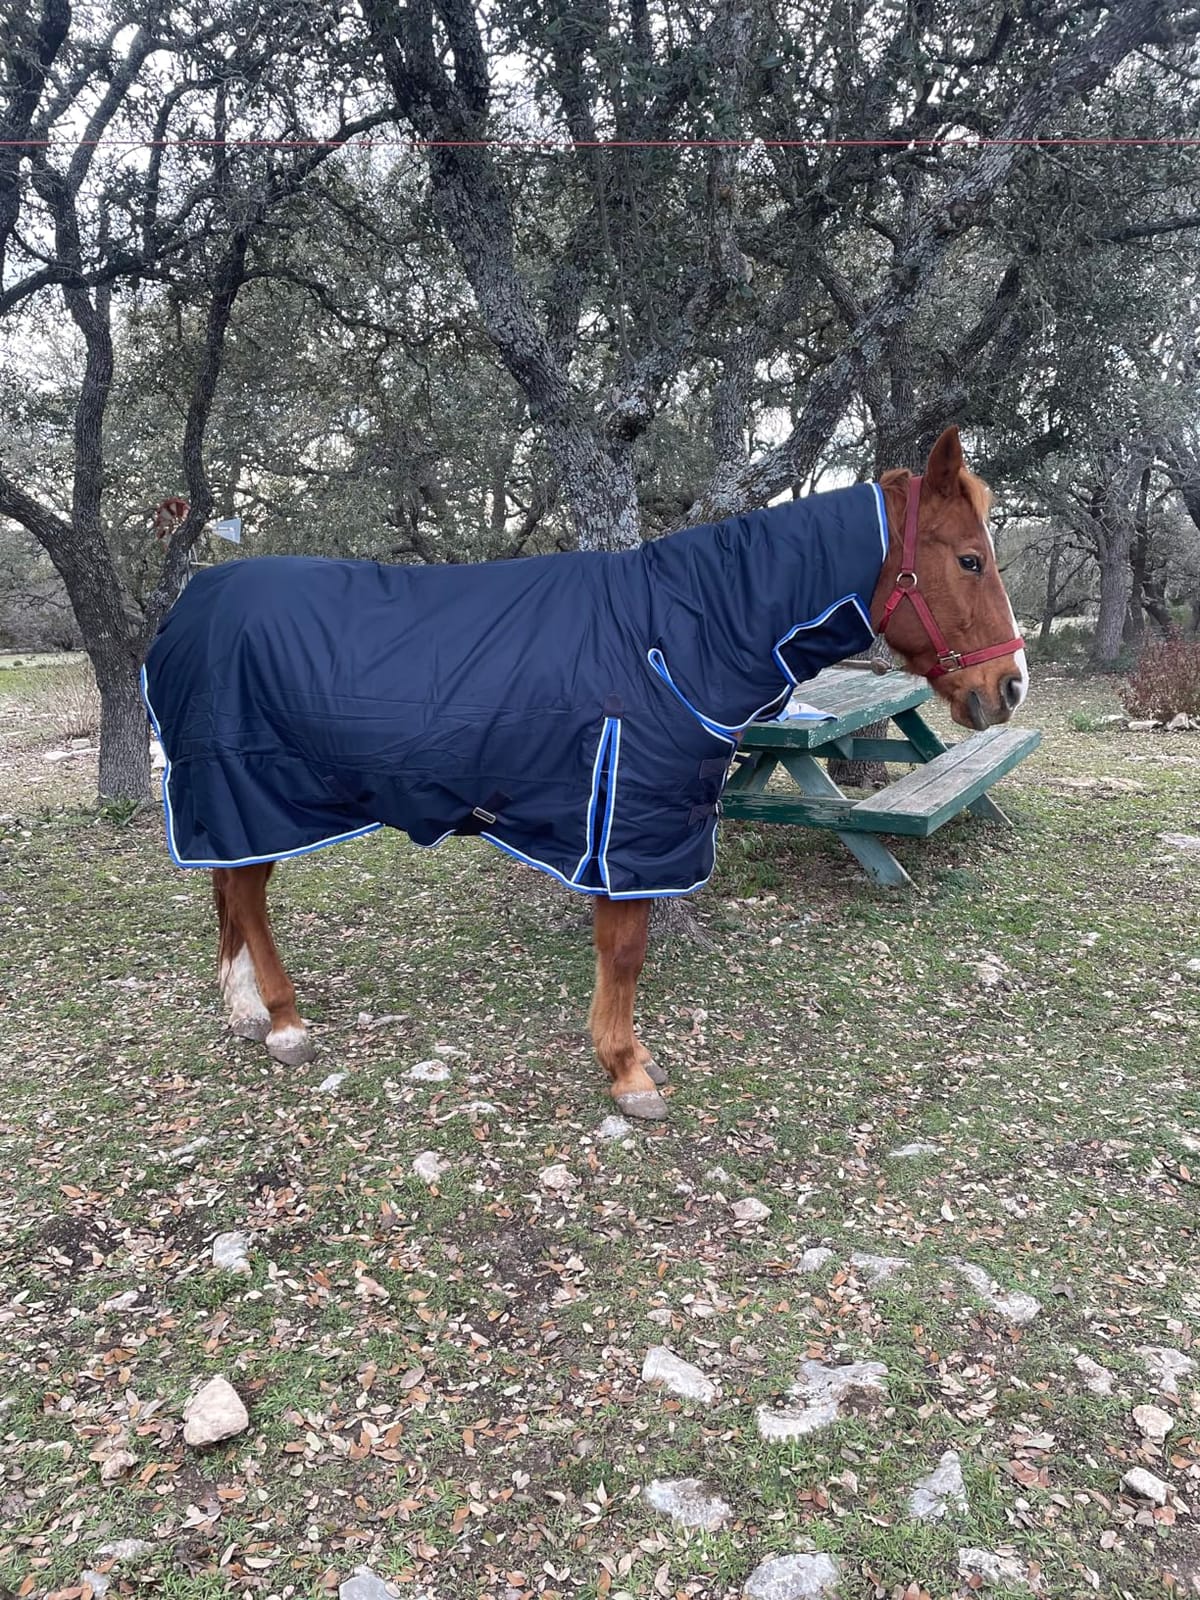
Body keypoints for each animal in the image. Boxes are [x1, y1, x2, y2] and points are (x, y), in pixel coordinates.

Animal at [142, 426, 1026, 1121]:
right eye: (970, 559)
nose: (1009, 686)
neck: (679, 634)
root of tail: (192, 603)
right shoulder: (631, 822)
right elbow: (626, 952)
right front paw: (627, 1070)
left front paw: (624, 1058)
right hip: (250, 790)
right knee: (248, 896)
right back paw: (285, 1022)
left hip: (235, 798)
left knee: (230, 888)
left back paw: (244, 1010)